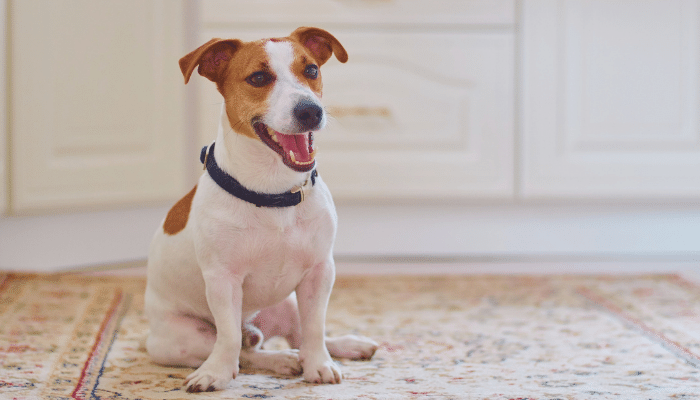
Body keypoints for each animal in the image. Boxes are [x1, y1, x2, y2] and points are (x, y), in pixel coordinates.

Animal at [143, 28, 380, 394]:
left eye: (311, 70)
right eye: (258, 78)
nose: (311, 111)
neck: (274, 193)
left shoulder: (319, 271)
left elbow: (315, 328)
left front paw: (320, 365)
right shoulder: (223, 279)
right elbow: (228, 338)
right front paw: (216, 375)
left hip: (289, 303)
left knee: (298, 335)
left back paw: (342, 347)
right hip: (181, 339)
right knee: (244, 351)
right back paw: (279, 360)